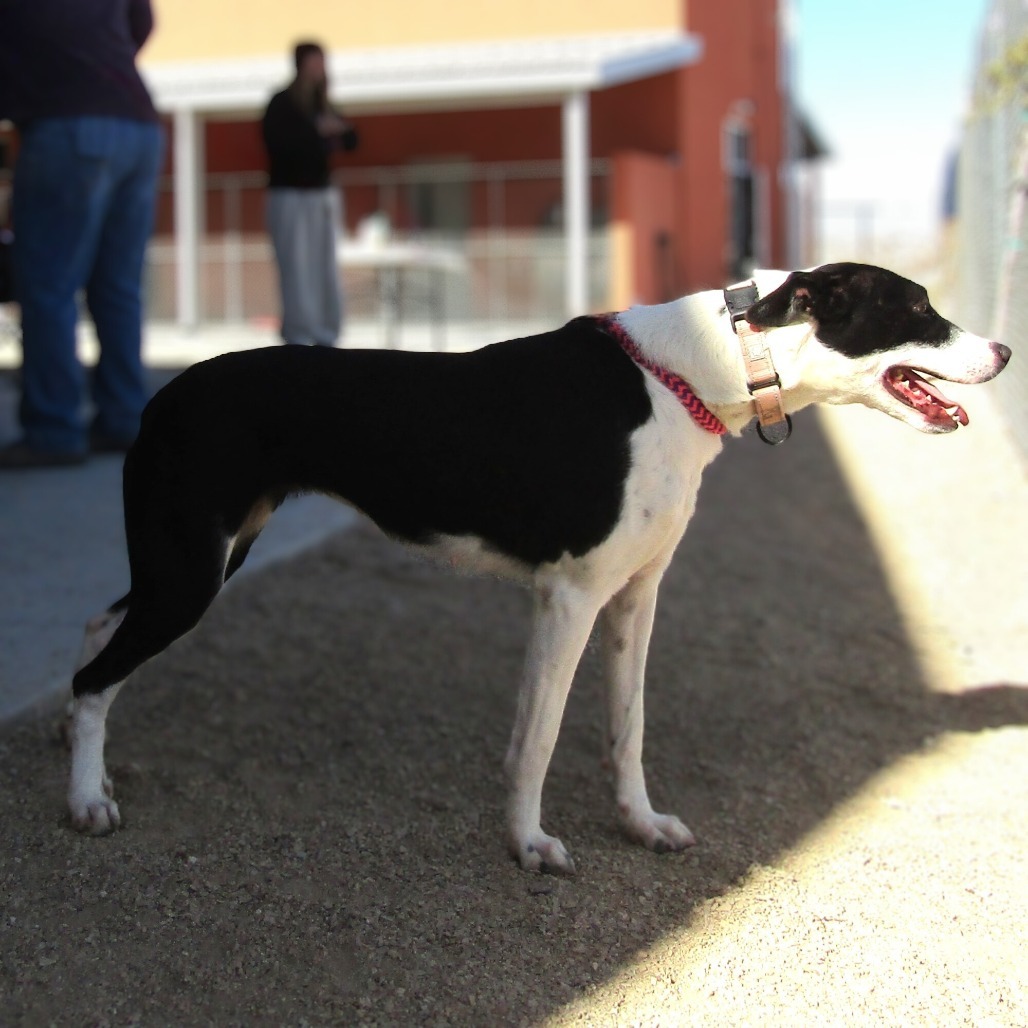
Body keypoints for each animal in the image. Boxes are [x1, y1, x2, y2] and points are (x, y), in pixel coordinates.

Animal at [66, 261, 1011, 871]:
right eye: (918, 309)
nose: (1003, 351)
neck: (685, 375)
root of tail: (160, 397)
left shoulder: (635, 599)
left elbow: (628, 729)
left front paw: (640, 826)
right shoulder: (569, 599)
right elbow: (540, 738)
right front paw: (527, 845)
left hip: (197, 563)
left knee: (97, 632)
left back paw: (86, 767)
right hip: (190, 575)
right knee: (91, 678)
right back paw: (85, 801)